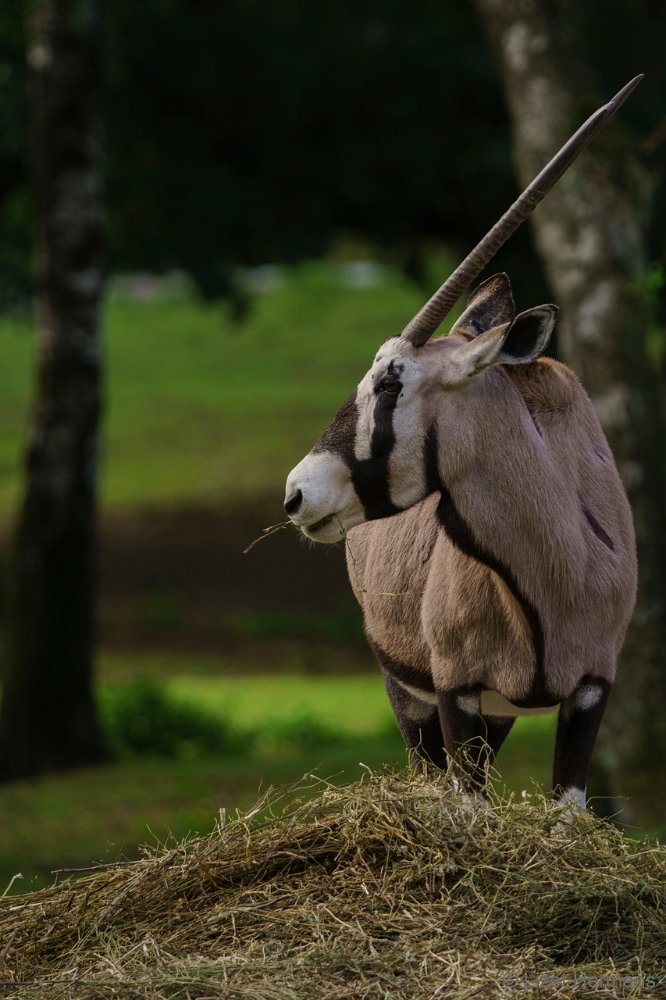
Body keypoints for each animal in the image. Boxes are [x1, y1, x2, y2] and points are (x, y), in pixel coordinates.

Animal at [280, 80, 640, 812]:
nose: (297, 493)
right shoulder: (455, 690)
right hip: (408, 691)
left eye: (392, 381)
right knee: (427, 771)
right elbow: (466, 809)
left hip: (499, 715)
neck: (552, 560)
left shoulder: (591, 689)